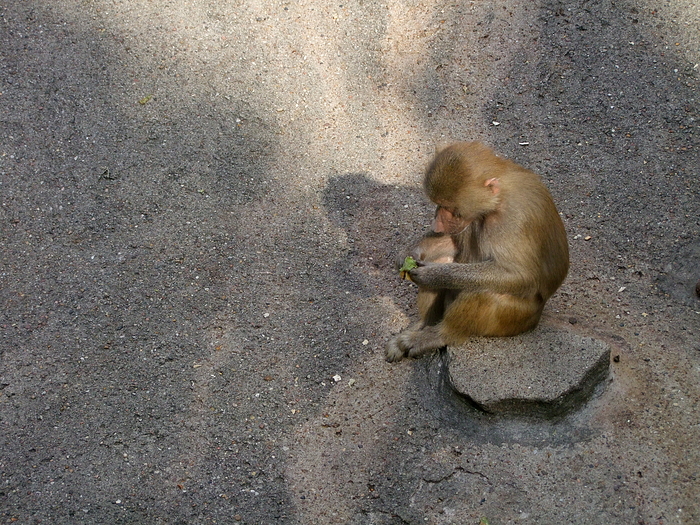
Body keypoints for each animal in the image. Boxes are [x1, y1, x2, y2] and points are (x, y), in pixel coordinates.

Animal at [386, 139, 572, 362]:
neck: (498, 200)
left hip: (515, 319)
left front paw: (433, 274)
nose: (436, 223)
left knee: (484, 290)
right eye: (438, 205)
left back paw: (439, 335)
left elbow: (519, 275)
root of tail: (537, 318)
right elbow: (453, 241)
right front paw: (408, 256)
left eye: (450, 209)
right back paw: (422, 327)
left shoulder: (513, 220)